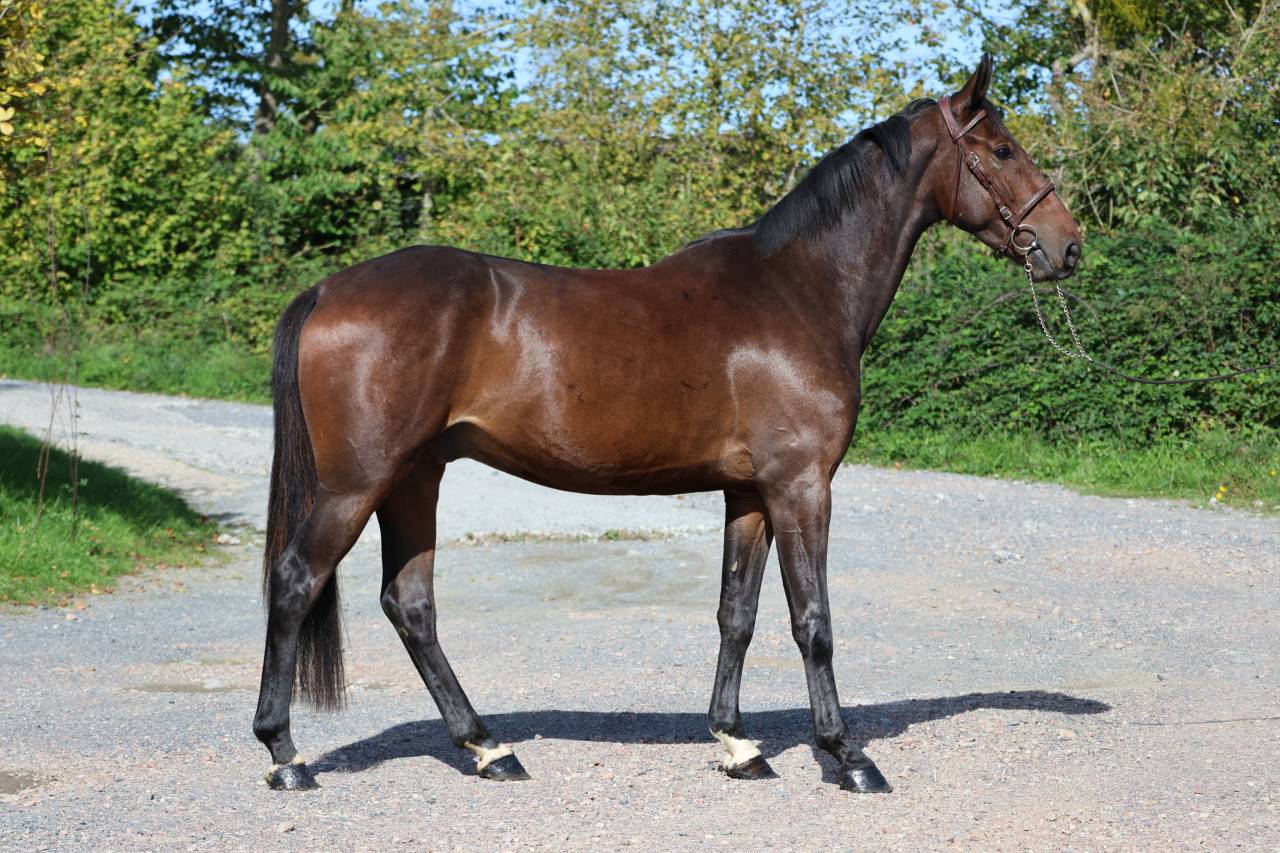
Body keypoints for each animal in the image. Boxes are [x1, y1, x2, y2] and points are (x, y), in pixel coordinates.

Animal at [253, 54, 1082, 794]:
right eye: (1001, 150)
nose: (1067, 245)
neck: (799, 289)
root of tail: (327, 289)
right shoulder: (802, 486)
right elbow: (812, 620)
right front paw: (848, 756)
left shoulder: (749, 494)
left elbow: (736, 614)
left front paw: (739, 743)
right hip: (357, 483)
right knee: (295, 582)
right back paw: (286, 754)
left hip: (413, 478)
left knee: (411, 604)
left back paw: (489, 748)